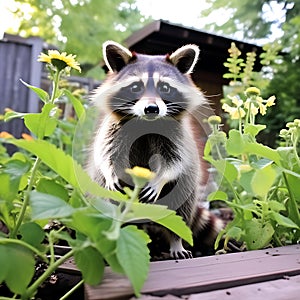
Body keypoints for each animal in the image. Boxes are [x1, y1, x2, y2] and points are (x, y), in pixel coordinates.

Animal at [86, 41, 223, 258]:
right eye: (135, 87)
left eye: (165, 87)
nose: (152, 109)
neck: (145, 122)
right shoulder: (113, 130)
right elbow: (105, 154)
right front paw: (110, 171)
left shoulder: (177, 136)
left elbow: (176, 161)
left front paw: (160, 178)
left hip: (185, 191)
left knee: (181, 209)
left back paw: (176, 242)